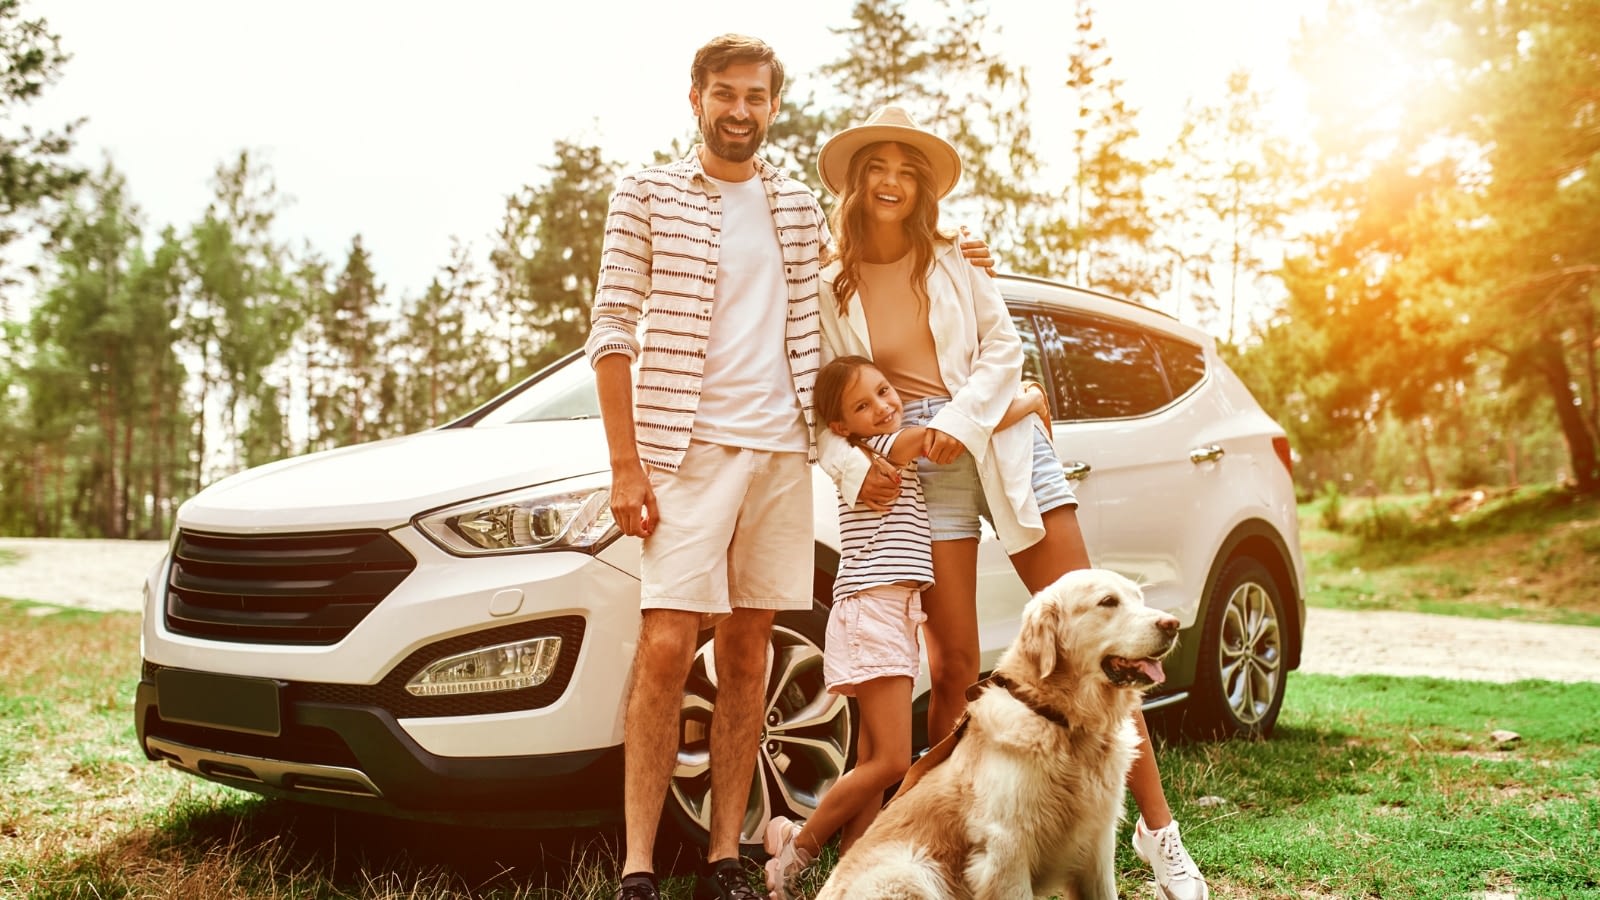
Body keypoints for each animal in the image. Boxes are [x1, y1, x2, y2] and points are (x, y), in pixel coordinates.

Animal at [812, 566, 1177, 896]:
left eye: (1139, 597)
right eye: (1108, 601)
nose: (1172, 623)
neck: (1061, 721)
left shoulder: (1097, 846)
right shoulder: (1005, 851)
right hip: (911, 870)